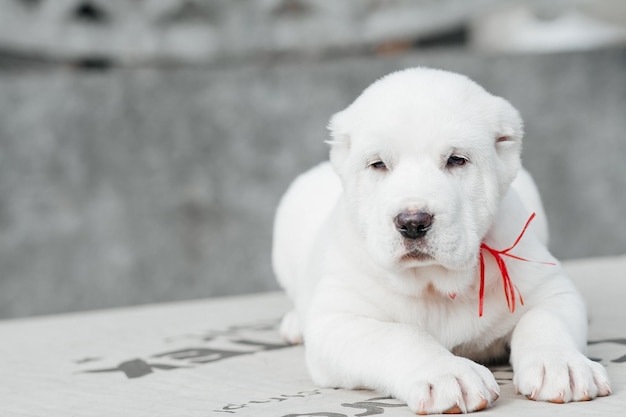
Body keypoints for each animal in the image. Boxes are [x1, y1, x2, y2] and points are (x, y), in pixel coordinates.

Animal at [270, 68, 608, 412]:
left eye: (456, 160)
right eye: (378, 164)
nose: (413, 223)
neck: (434, 284)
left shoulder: (548, 288)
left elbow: (545, 320)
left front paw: (561, 364)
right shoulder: (339, 320)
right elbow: (400, 336)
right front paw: (447, 373)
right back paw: (295, 323)